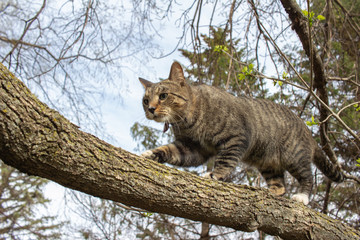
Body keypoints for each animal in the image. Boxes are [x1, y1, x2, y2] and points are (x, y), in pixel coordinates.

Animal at [139, 61, 344, 203]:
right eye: (145, 100)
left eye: (163, 96)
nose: (150, 109)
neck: (187, 122)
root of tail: (307, 130)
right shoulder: (192, 148)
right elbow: (169, 150)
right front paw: (151, 154)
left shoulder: (235, 138)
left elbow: (224, 161)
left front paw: (214, 175)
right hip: (268, 163)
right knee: (280, 185)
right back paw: (268, 191)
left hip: (295, 156)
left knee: (307, 177)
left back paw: (301, 196)